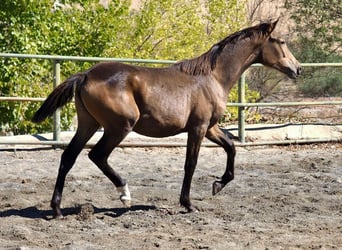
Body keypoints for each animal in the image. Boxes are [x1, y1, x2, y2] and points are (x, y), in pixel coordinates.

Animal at [32, 20, 300, 219]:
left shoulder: (210, 127)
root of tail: (86, 74)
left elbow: (231, 147)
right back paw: (124, 194)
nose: (297, 69)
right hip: (119, 126)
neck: (212, 77)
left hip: (89, 124)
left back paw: (57, 209)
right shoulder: (198, 128)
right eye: (282, 42)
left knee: (69, 157)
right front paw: (188, 204)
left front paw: (218, 184)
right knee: (97, 155)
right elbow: (191, 164)